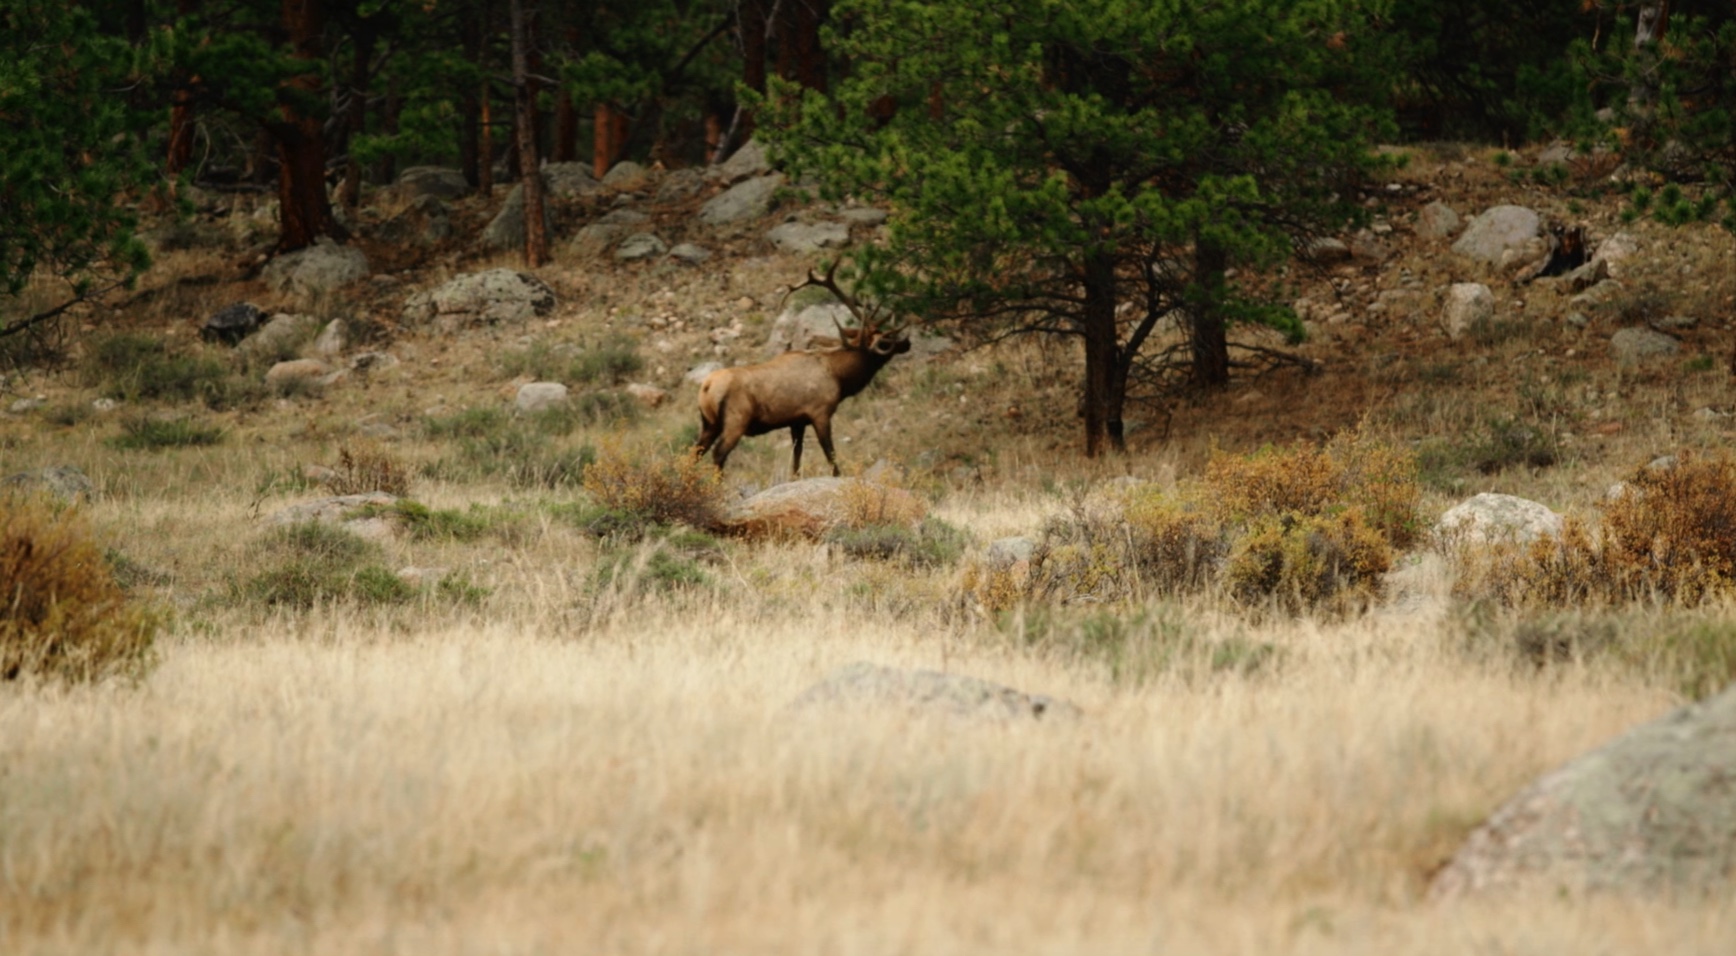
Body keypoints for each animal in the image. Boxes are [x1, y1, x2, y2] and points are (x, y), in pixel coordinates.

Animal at [693, 262, 911, 477]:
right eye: (886, 340)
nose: (907, 343)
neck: (840, 378)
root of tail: (707, 386)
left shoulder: (796, 421)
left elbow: (797, 458)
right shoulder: (820, 412)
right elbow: (831, 456)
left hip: (709, 423)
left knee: (695, 453)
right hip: (735, 420)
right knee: (718, 453)